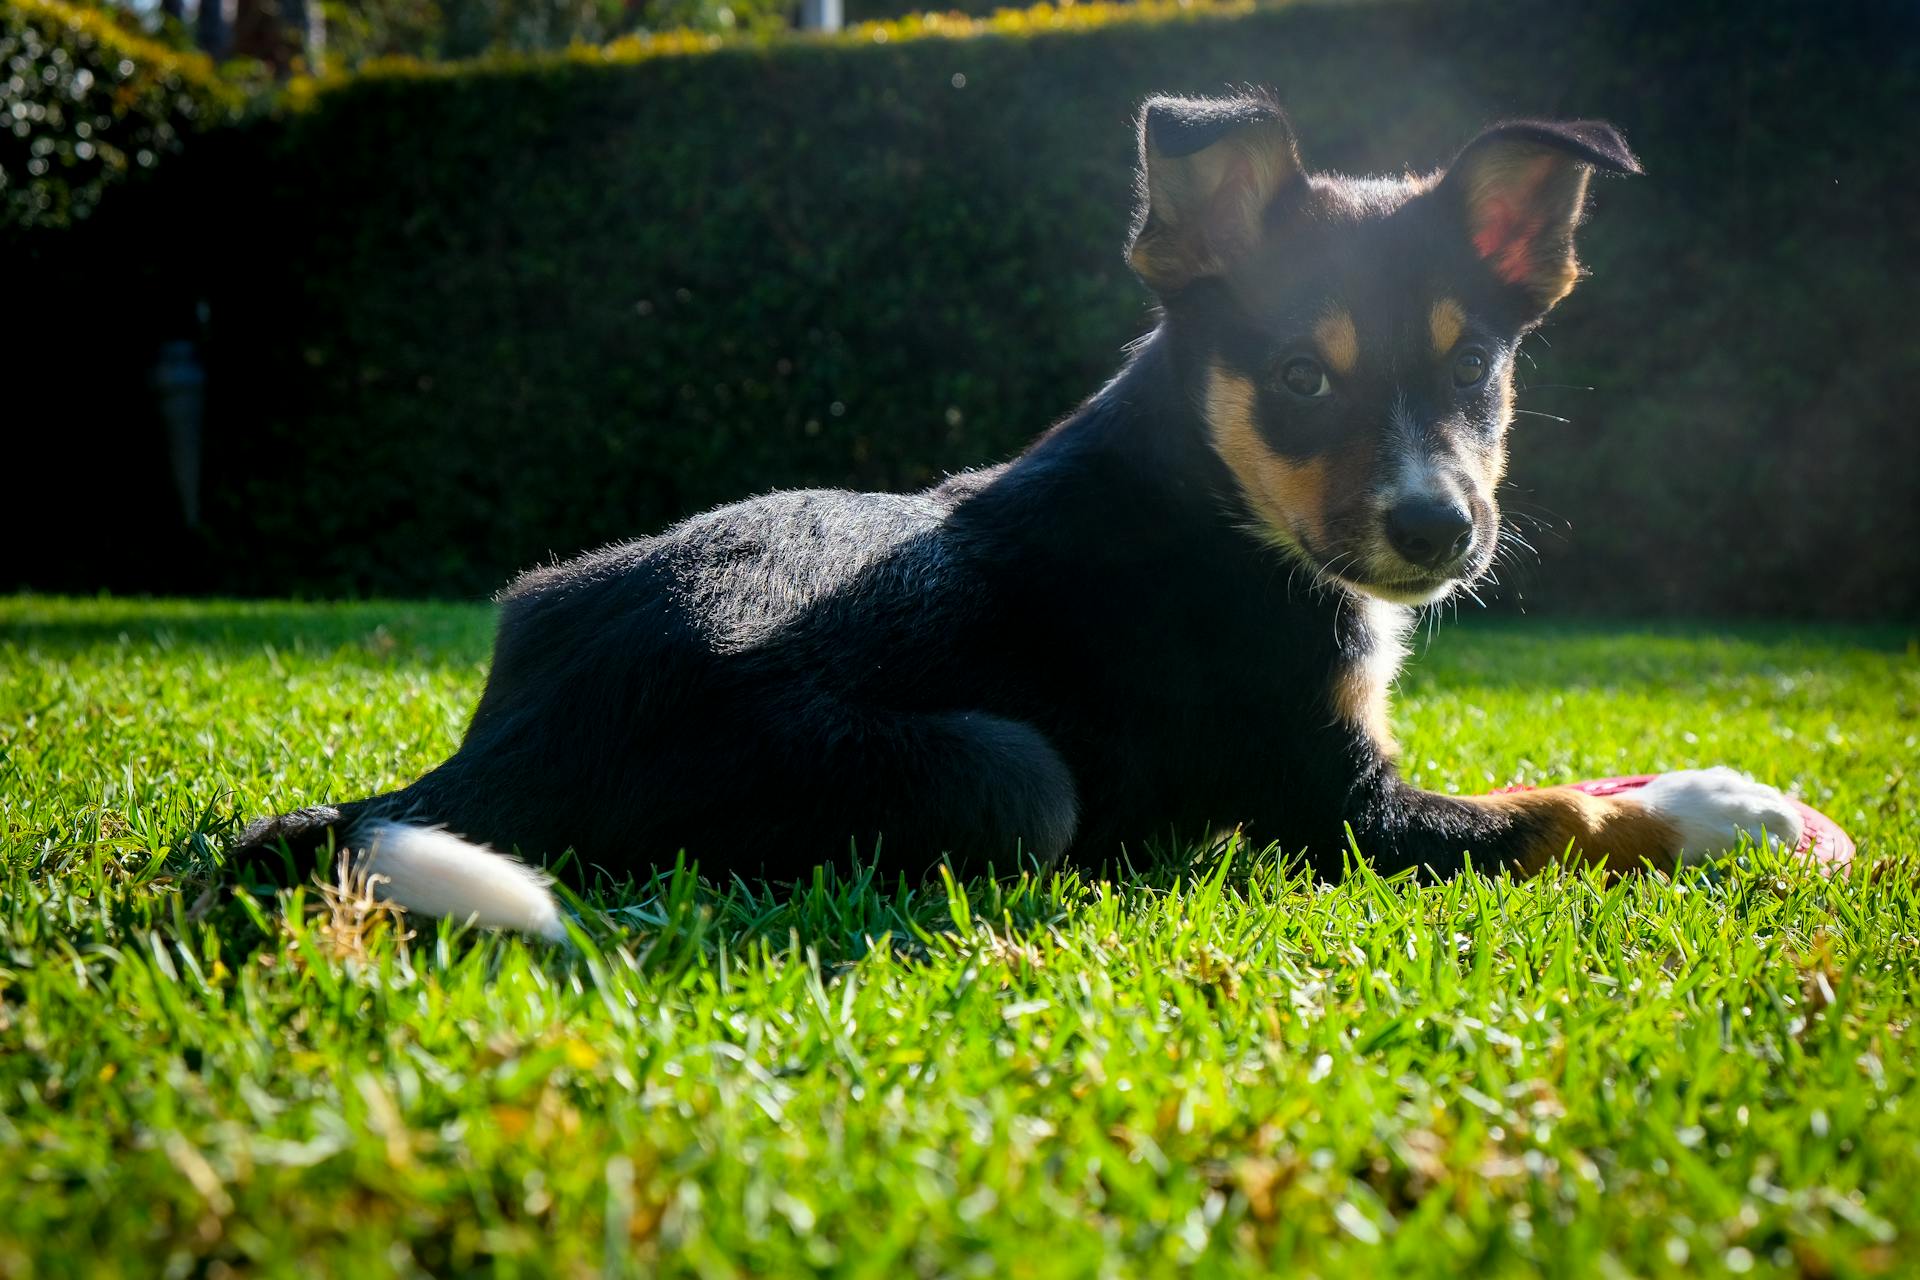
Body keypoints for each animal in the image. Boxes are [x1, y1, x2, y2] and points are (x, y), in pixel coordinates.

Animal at [236, 87, 1797, 932]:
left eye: (1476, 366)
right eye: (1299, 378)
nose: (1436, 532)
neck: (1212, 489)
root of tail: (479, 767)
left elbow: (1554, 781)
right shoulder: (1338, 808)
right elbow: (1553, 814)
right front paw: (1730, 809)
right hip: (1008, 773)